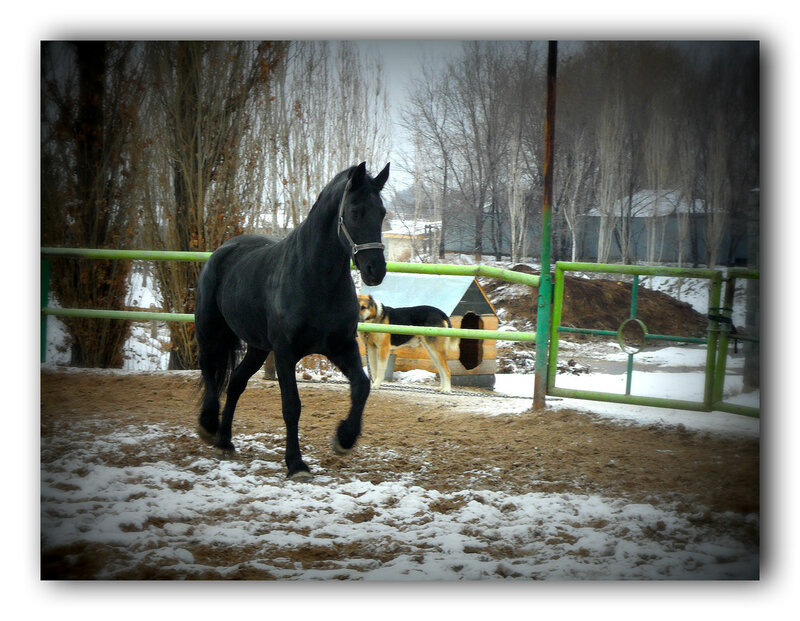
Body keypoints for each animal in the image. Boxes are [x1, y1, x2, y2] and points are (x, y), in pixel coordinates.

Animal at [194, 162, 389, 481]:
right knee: (210, 370)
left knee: (235, 382)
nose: (376, 270)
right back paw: (209, 426)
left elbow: (362, 387)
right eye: (355, 211)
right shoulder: (285, 353)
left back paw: (225, 442)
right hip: (210, 331)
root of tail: (223, 250)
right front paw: (296, 464)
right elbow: (292, 406)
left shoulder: (341, 346)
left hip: (258, 348)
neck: (316, 279)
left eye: (382, 212)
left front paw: (344, 439)